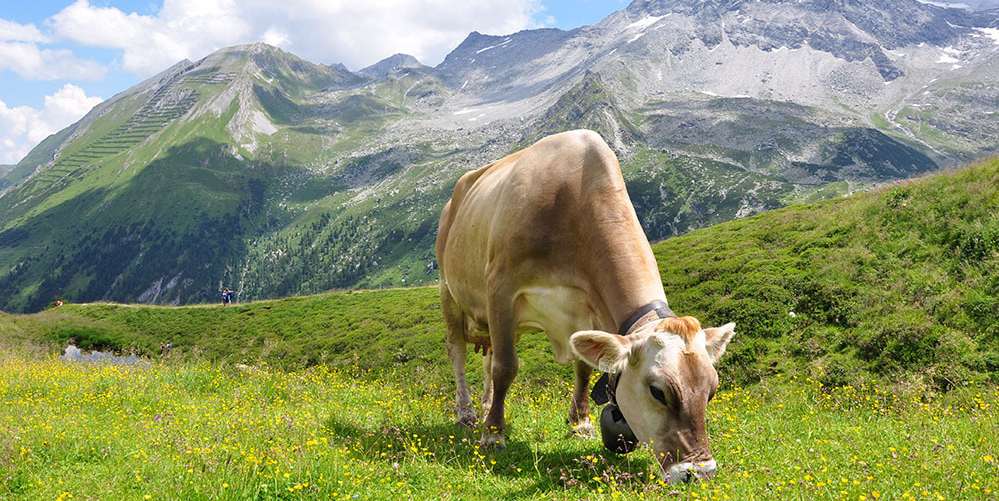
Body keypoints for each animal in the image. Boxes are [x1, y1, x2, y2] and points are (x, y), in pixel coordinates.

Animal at [436, 129, 736, 480]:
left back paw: (485, 405)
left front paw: (580, 423)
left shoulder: (585, 309)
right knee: (458, 351)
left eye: (711, 390)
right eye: (658, 391)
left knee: (488, 355)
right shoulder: (500, 287)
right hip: (450, 292)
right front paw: (493, 434)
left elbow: (583, 368)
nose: (700, 472)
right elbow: (506, 367)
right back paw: (468, 413)